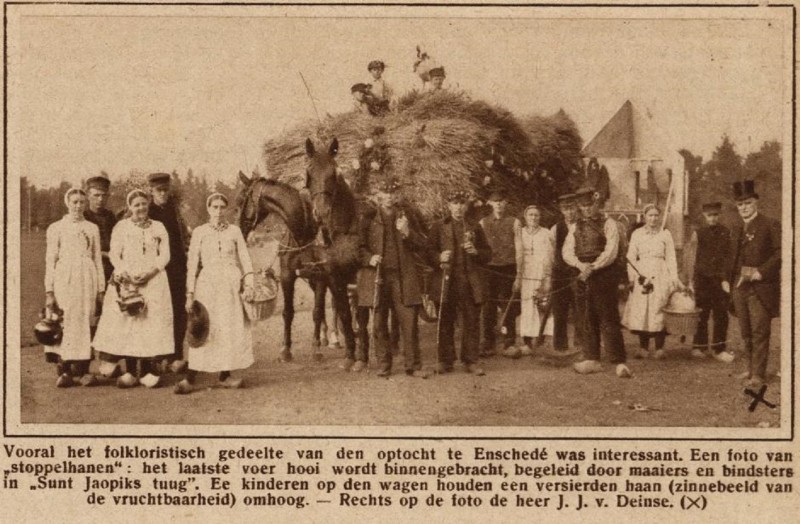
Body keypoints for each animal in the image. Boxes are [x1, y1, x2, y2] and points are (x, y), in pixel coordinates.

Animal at [236, 137, 358, 362]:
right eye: (308, 175)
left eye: (241, 200)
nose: (240, 227)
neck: (303, 230)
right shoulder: (288, 275)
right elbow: (288, 312)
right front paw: (286, 349)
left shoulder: (322, 275)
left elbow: (317, 311)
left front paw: (315, 348)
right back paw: (330, 336)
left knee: (340, 302)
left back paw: (341, 334)